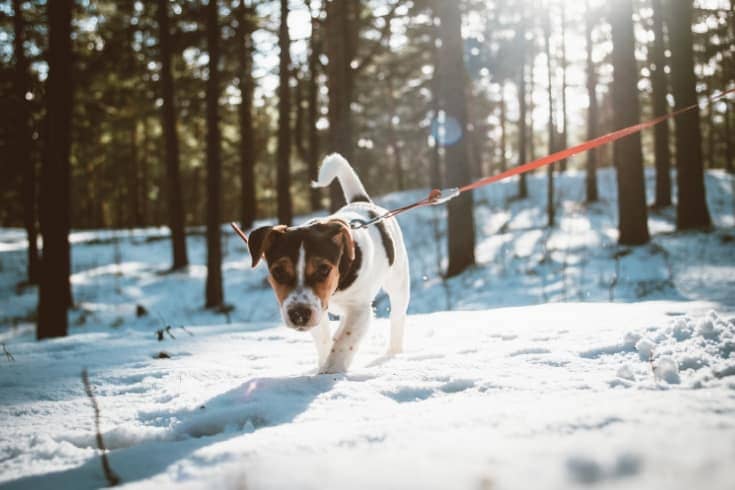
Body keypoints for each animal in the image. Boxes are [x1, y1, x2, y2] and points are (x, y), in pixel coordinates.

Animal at [246, 155, 408, 374]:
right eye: (278, 271)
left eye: (323, 269)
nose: (299, 314)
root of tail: (361, 202)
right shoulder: (319, 310)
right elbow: (325, 339)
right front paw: (324, 363)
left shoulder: (359, 308)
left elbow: (344, 341)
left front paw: (330, 371)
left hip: (398, 283)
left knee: (397, 317)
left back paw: (394, 353)